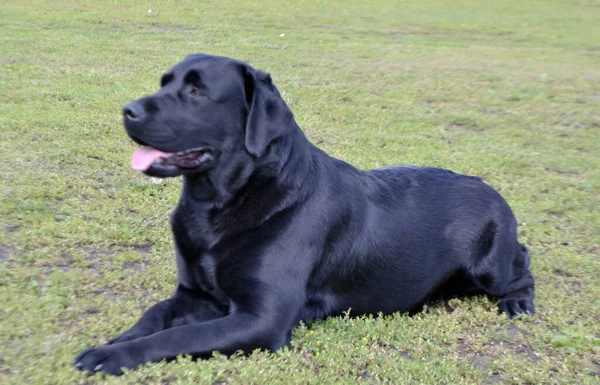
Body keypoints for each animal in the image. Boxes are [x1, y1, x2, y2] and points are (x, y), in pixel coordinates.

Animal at [72, 54, 536, 376]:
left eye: (197, 92)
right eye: (164, 82)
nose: (127, 109)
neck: (220, 205)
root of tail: (489, 187)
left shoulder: (263, 318)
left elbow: (179, 335)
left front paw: (113, 355)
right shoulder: (195, 294)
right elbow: (154, 316)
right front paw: (112, 342)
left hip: (490, 267)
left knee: (524, 264)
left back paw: (517, 302)